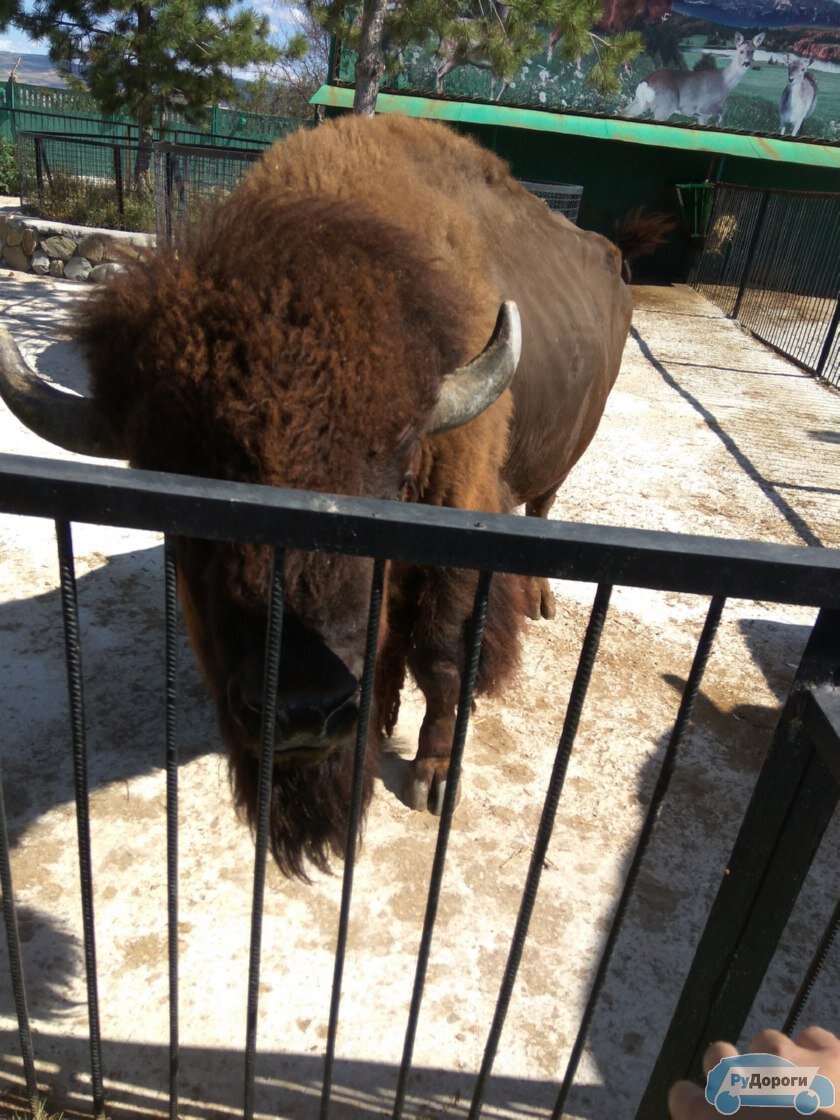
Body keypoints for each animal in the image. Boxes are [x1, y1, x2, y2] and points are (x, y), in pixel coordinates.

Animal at [0, 115, 631, 882]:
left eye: (395, 475)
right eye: (174, 494)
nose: (303, 712)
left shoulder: (461, 523)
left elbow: (444, 655)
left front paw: (434, 779)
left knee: (542, 507)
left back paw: (540, 600)